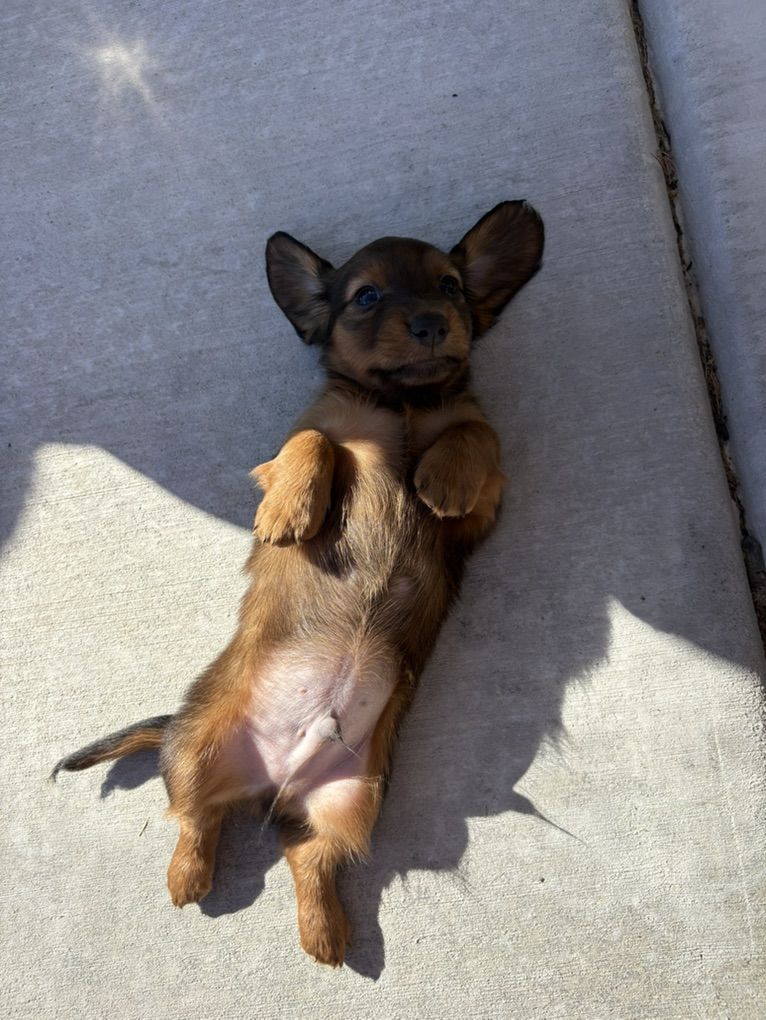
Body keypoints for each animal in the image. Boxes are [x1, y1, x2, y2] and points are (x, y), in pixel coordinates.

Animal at [52, 201, 544, 966]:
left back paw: (325, 932)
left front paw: (440, 476)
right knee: (192, 816)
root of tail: (272, 781)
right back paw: (188, 877)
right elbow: (312, 442)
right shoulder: (309, 436)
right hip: (196, 749)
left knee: (306, 859)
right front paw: (289, 509)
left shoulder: (482, 508)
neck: (400, 406)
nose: (432, 323)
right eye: (366, 296)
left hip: (351, 801)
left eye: (452, 286)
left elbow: (474, 434)